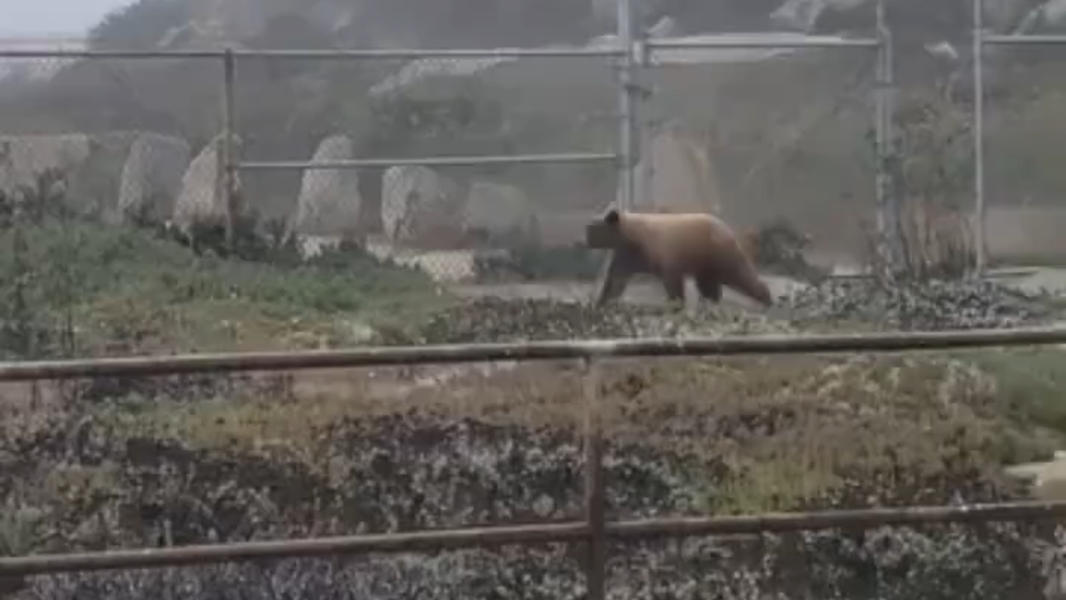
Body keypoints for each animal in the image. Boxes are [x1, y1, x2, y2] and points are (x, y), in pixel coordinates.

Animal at [586, 208, 774, 308]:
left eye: (591, 228)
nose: (586, 240)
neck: (632, 235)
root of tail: (726, 228)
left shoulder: (662, 250)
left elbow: (672, 280)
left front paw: (676, 303)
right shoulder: (628, 254)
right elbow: (616, 279)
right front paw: (601, 301)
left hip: (718, 252)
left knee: (739, 275)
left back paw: (767, 299)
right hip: (705, 263)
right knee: (708, 284)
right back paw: (710, 301)